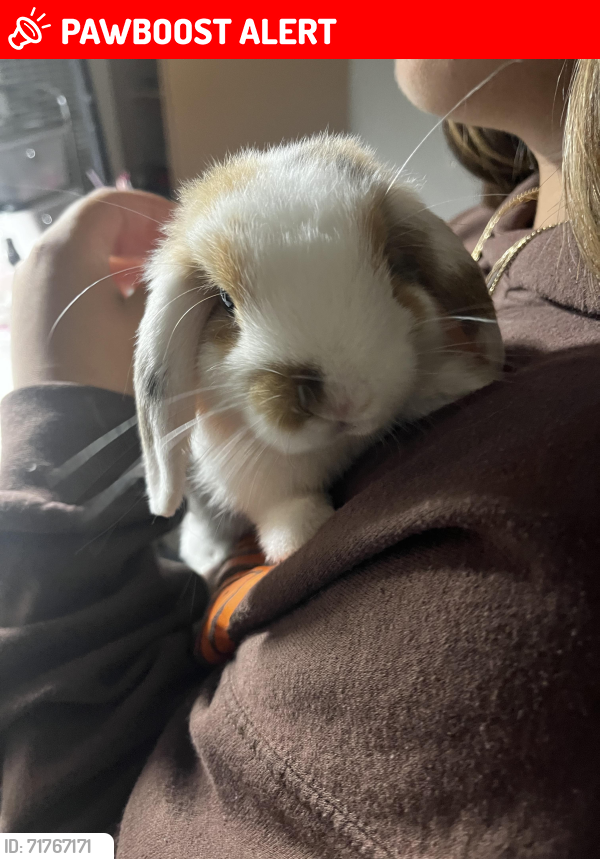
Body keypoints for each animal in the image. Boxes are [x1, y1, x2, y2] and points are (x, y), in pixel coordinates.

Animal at [133, 134, 503, 577]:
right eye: (224, 301)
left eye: (392, 262)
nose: (344, 400)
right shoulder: (258, 481)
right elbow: (283, 507)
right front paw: (301, 535)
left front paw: (460, 383)